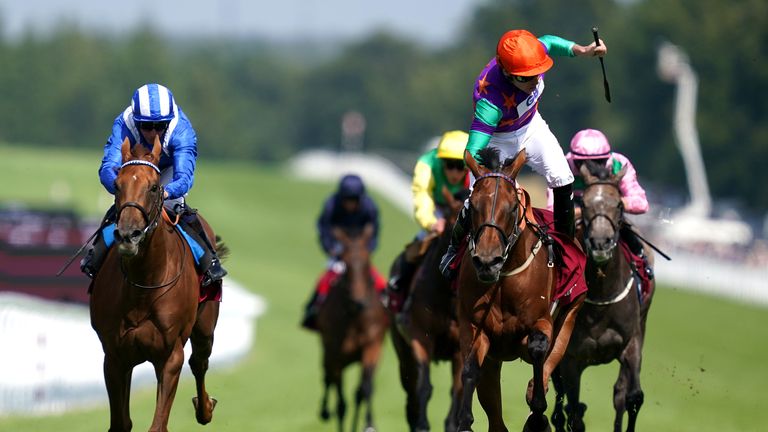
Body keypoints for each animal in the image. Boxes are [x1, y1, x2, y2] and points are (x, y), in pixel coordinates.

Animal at [92, 138, 222, 432]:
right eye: (117, 184)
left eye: (153, 187)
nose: (128, 235)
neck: (144, 284)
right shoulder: (115, 356)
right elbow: (121, 422)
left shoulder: (170, 356)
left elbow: (158, 425)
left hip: (205, 326)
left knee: (199, 362)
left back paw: (205, 409)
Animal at [316, 223, 390, 432]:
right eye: (345, 264)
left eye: (366, 262)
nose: (358, 302)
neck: (356, 319)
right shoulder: (336, 353)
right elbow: (341, 402)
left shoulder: (372, 346)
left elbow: (364, 390)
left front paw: (368, 424)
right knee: (328, 377)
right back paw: (324, 410)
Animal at [390, 187, 468, 432]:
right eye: (456, 224)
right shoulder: (419, 337)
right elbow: (423, 387)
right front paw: (421, 424)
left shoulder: (460, 350)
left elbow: (458, 391)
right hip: (402, 350)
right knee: (410, 390)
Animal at [456, 147, 584, 430]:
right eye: (472, 207)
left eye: (512, 207)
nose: (487, 261)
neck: (504, 279)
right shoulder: (476, 329)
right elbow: (469, 368)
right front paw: (464, 419)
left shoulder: (542, 322)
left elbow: (538, 348)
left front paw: (538, 414)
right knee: (496, 420)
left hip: (569, 320)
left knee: (546, 365)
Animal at [548, 162, 656, 432]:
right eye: (584, 203)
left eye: (618, 204)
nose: (600, 242)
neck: (601, 295)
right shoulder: (571, 359)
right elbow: (573, 412)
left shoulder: (631, 343)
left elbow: (632, 397)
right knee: (561, 407)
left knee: (619, 393)